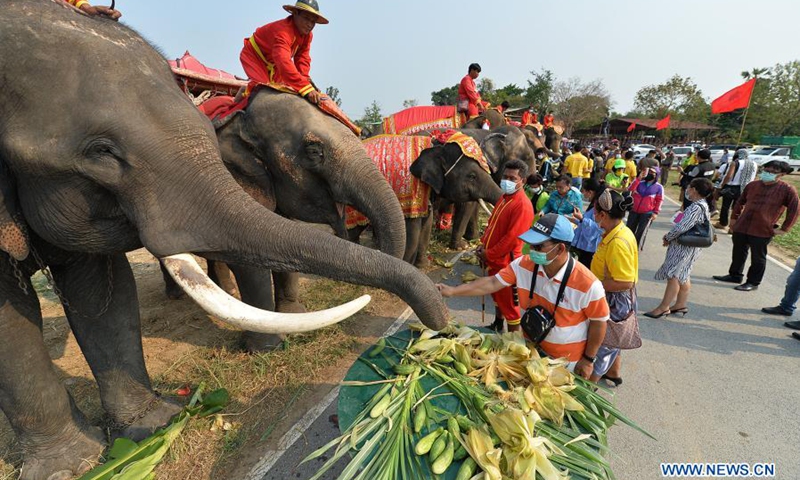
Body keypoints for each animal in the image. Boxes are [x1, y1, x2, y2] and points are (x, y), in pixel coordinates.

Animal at [346, 137, 503, 267]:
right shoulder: (411, 190)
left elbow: (427, 223)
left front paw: (423, 266)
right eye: (472, 176)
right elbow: (413, 229)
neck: (436, 148)